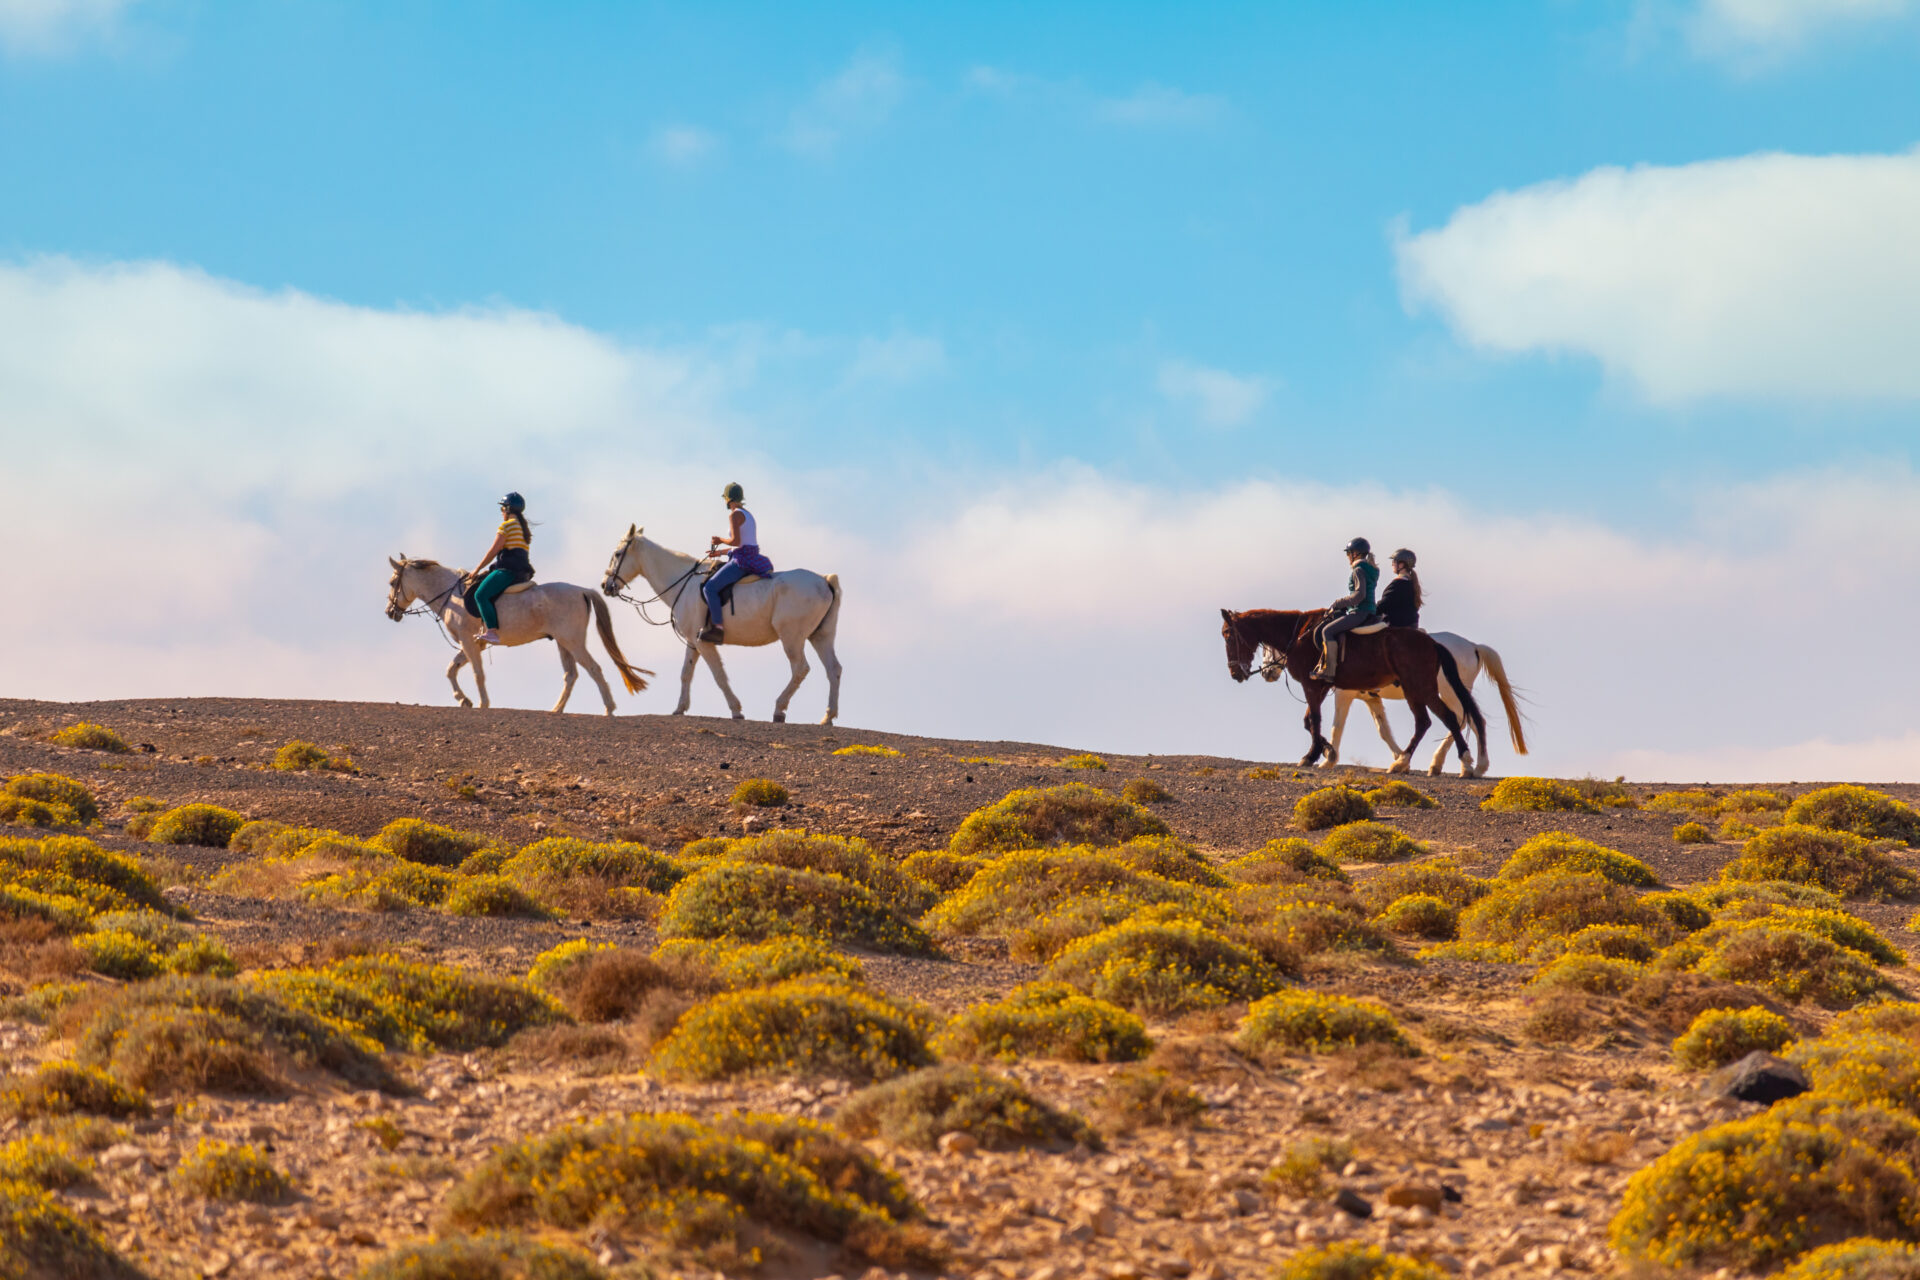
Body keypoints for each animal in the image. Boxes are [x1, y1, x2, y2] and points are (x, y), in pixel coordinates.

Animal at [385, 560, 648, 721]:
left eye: (392, 582)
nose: (390, 612)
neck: (453, 596)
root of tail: (582, 590)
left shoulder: (469, 643)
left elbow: (477, 673)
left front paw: (482, 703)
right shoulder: (473, 644)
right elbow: (451, 670)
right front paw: (464, 700)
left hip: (573, 642)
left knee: (594, 669)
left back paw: (609, 709)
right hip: (563, 643)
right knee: (571, 675)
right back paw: (557, 709)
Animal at [599, 521, 840, 721]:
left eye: (618, 553)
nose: (605, 585)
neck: (683, 582)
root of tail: (824, 581)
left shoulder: (703, 642)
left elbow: (719, 676)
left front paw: (736, 710)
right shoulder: (692, 642)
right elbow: (686, 674)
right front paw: (680, 708)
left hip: (792, 638)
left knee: (800, 669)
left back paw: (779, 709)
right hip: (821, 637)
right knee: (833, 670)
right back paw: (828, 717)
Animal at [1267, 633, 1520, 782]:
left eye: (1270, 648)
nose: (1267, 672)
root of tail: (1474, 646)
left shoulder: (1343, 694)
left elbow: (1336, 726)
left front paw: (1329, 757)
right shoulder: (1371, 699)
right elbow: (1383, 730)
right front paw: (1400, 757)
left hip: (1449, 692)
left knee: (1462, 720)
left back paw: (1460, 765)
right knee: (1470, 721)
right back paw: (1466, 766)